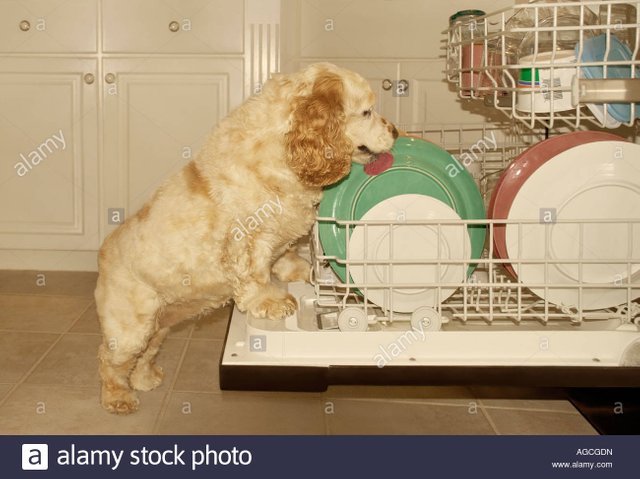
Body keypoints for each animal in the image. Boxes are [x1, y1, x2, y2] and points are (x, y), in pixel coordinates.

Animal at [95, 62, 398, 416]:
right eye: (366, 111)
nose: (395, 131)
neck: (284, 150)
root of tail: (103, 255)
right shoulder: (247, 240)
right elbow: (255, 275)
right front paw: (272, 302)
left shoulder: (280, 233)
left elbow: (283, 256)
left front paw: (300, 270)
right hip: (131, 328)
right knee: (110, 361)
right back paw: (118, 398)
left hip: (160, 325)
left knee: (145, 354)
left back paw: (146, 379)